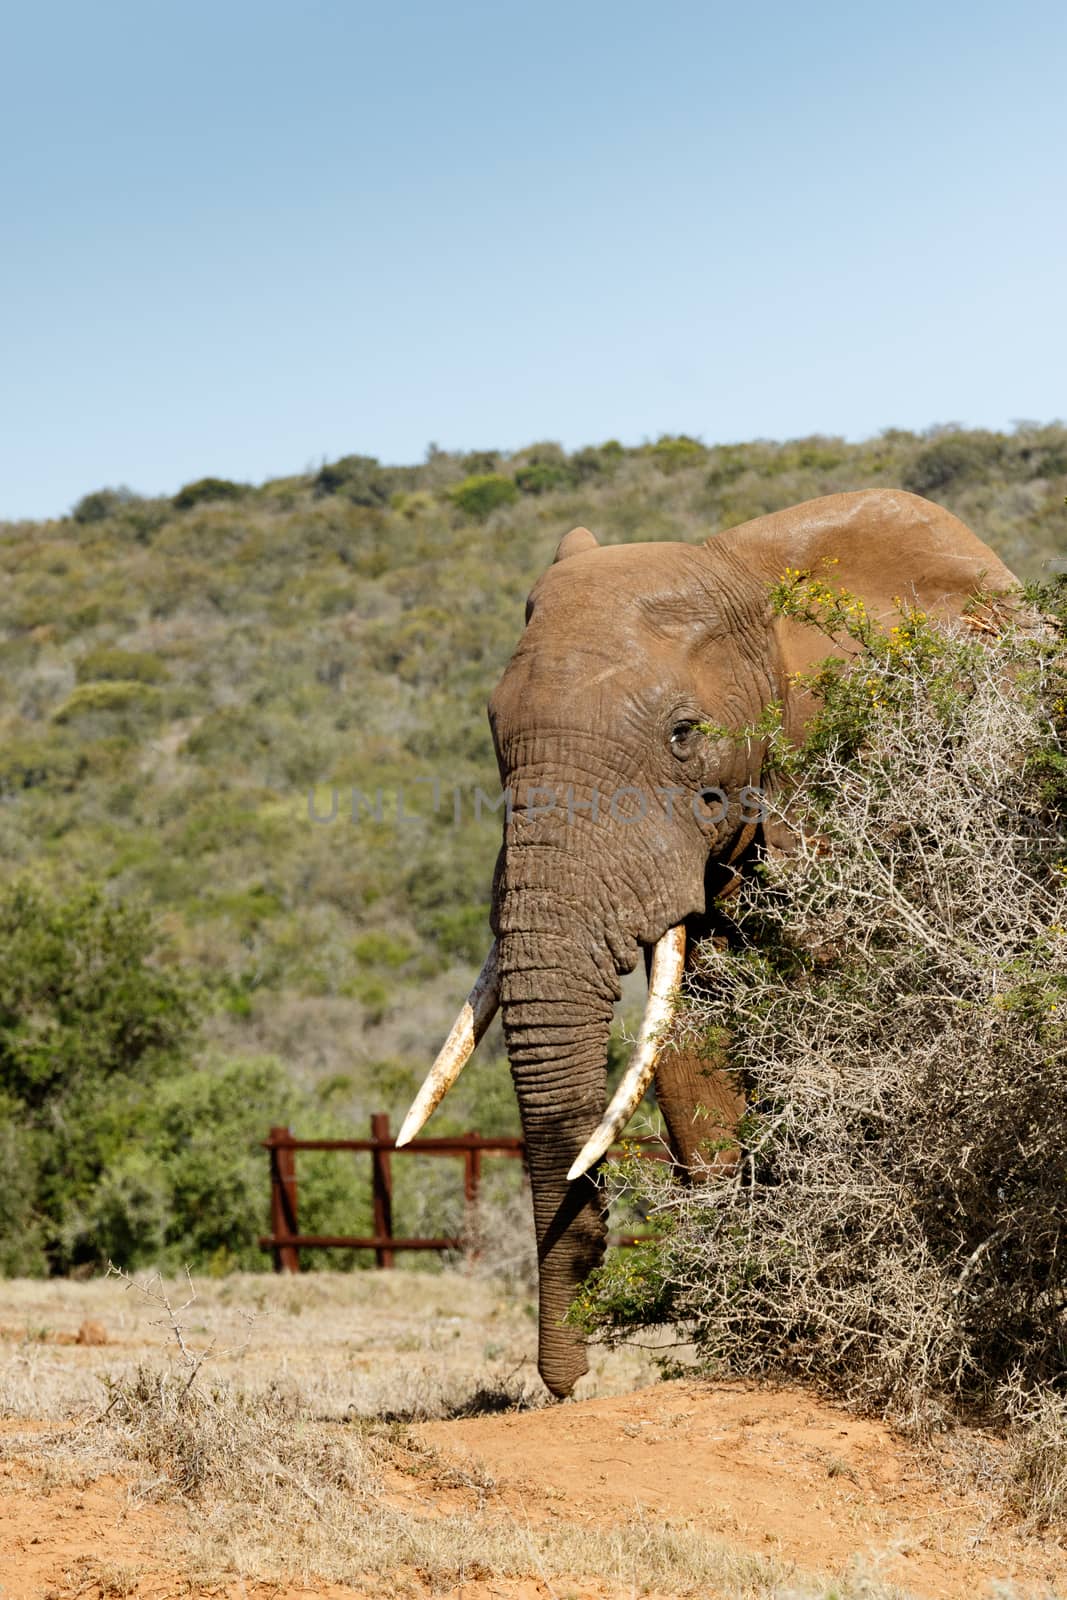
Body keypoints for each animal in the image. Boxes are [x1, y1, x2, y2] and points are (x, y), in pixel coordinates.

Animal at [398, 489, 1017, 1401]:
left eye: (683, 733)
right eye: (491, 727)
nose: (567, 1383)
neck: (748, 573)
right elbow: (695, 1044)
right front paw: (753, 1352)